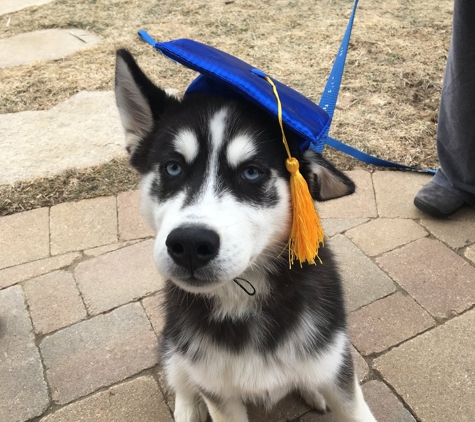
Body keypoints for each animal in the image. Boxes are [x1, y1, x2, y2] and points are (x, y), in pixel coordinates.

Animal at [115, 49, 376, 422]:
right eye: (173, 167)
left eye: (252, 173)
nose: (190, 244)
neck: (243, 300)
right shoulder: (216, 390)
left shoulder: (335, 363)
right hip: (174, 340)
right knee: (178, 374)